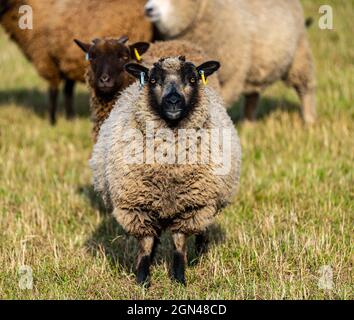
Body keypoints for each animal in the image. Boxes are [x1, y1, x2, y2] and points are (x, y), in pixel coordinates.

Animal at [0, 0, 152, 124]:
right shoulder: (66, 61)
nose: (105, 80)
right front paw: (70, 118)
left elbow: (53, 91)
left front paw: (52, 121)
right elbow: (67, 90)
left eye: (124, 57)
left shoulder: (48, 59)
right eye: (92, 57)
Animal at [90, 57, 242, 284]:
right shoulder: (138, 206)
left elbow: (179, 244)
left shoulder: (191, 205)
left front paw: (179, 278)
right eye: (153, 80)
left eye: (192, 79)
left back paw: (201, 248)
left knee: (202, 230)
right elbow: (145, 244)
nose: (173, 101)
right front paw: (142, 279)